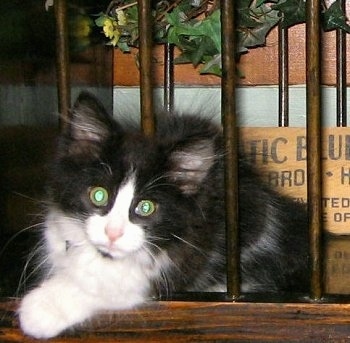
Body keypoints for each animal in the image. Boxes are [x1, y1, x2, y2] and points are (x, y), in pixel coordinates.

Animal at [19, 92, 308, 340]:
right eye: (98, 195)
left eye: (146, 207)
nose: (113, 233)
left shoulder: (192, 247)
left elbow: (115, 281)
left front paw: (41, 308)